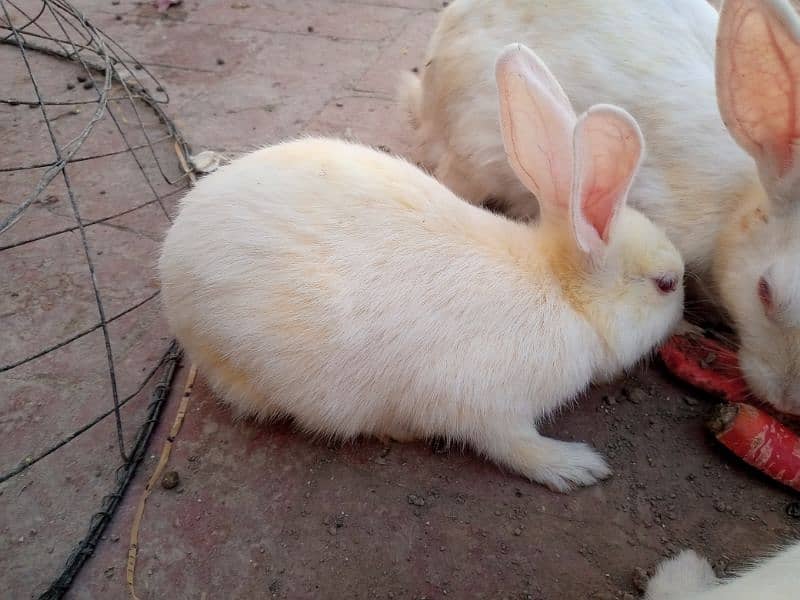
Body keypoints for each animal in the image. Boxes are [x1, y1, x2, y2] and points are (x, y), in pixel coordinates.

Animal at [159, 43, 684, 492]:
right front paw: (576, 467)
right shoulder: (492, 408)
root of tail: (171, 264)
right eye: (666, 284)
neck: (561, 291)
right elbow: (516, 447)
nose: (682, 312)